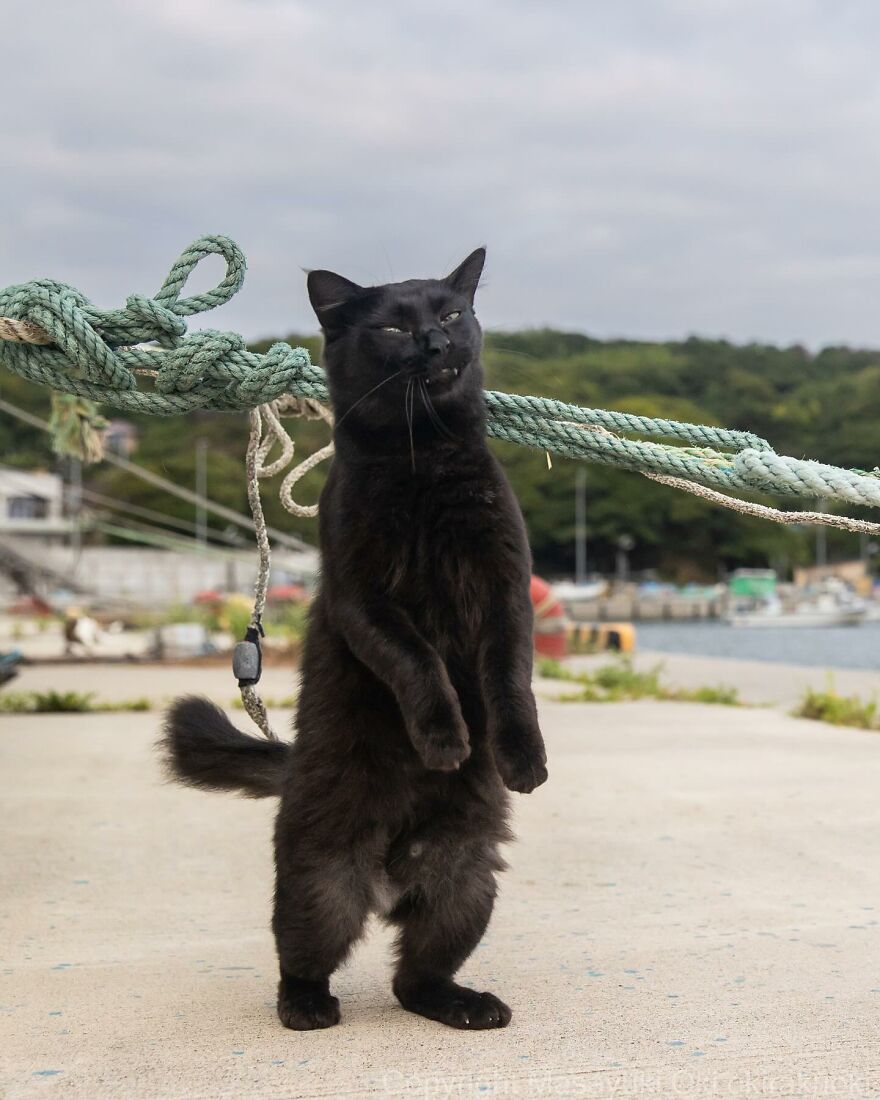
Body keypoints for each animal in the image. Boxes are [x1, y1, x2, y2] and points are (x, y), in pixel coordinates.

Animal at [161, 251, 545, 1029]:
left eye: (452, 313)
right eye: (395, 327)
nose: (436, 341)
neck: (422, 460)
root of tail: (391, 876)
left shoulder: (503, 589)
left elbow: (508, 677)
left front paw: (519, 757)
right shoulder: (360, 595)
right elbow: (418, 661)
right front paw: (445, 741)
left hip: (467, 885)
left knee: (415, 977)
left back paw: (465, 1004)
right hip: (321, 881)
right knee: (302, 955)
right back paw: (307, 1007)